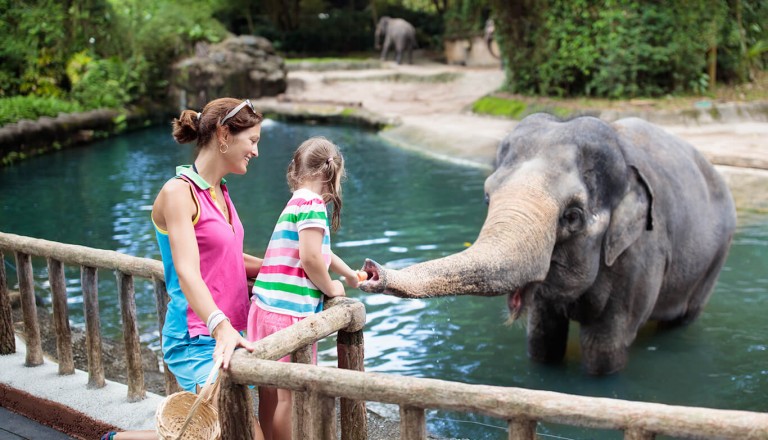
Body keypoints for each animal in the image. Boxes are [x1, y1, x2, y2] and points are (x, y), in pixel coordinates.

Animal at [362, 112, 736, 374]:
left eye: (572, 216)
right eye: (487, 197)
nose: (371, 270)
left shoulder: (641, 255)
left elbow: (604, 347)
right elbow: (542, 339)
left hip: (715, 257)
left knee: (683, 317)